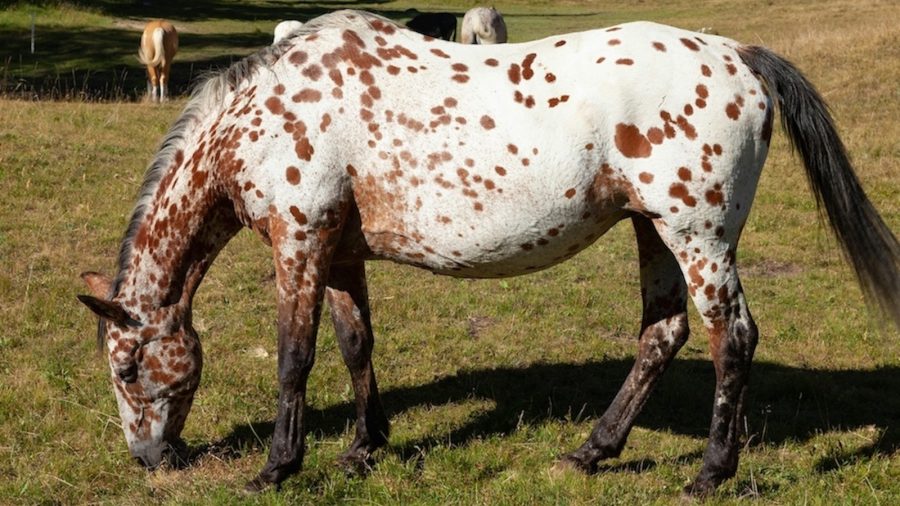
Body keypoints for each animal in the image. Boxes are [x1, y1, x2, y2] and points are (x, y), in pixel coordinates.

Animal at [78, 10, 900, 495]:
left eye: (127, 369)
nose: (149, 460)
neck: (260, 115)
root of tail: (739, 54)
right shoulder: (340, 253)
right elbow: (355, 344)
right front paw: (363, 448)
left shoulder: (300, 240)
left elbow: (294, 357)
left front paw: (279, 466)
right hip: (653, 229)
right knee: (662, 334)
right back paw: (592, 451)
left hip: (696, 235)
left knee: (732, 338)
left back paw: (709, 472)